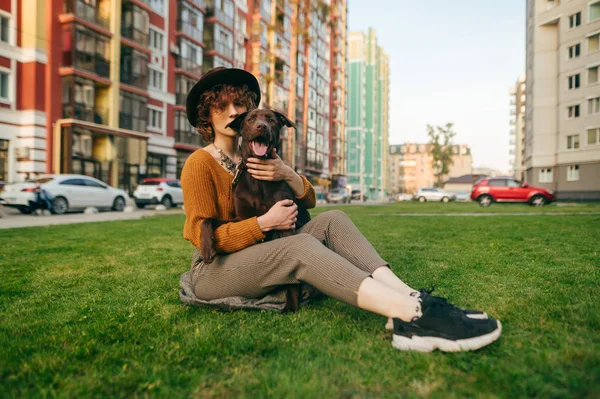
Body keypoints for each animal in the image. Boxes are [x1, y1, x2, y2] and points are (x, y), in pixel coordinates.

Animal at [202, 109, 314, 312]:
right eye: (250, 120)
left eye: (271, 119)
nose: (262, 126)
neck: (258, 180)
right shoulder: (241, 219)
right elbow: (208, 219)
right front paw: (207, 247)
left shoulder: (286, 223)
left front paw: (291, 306)